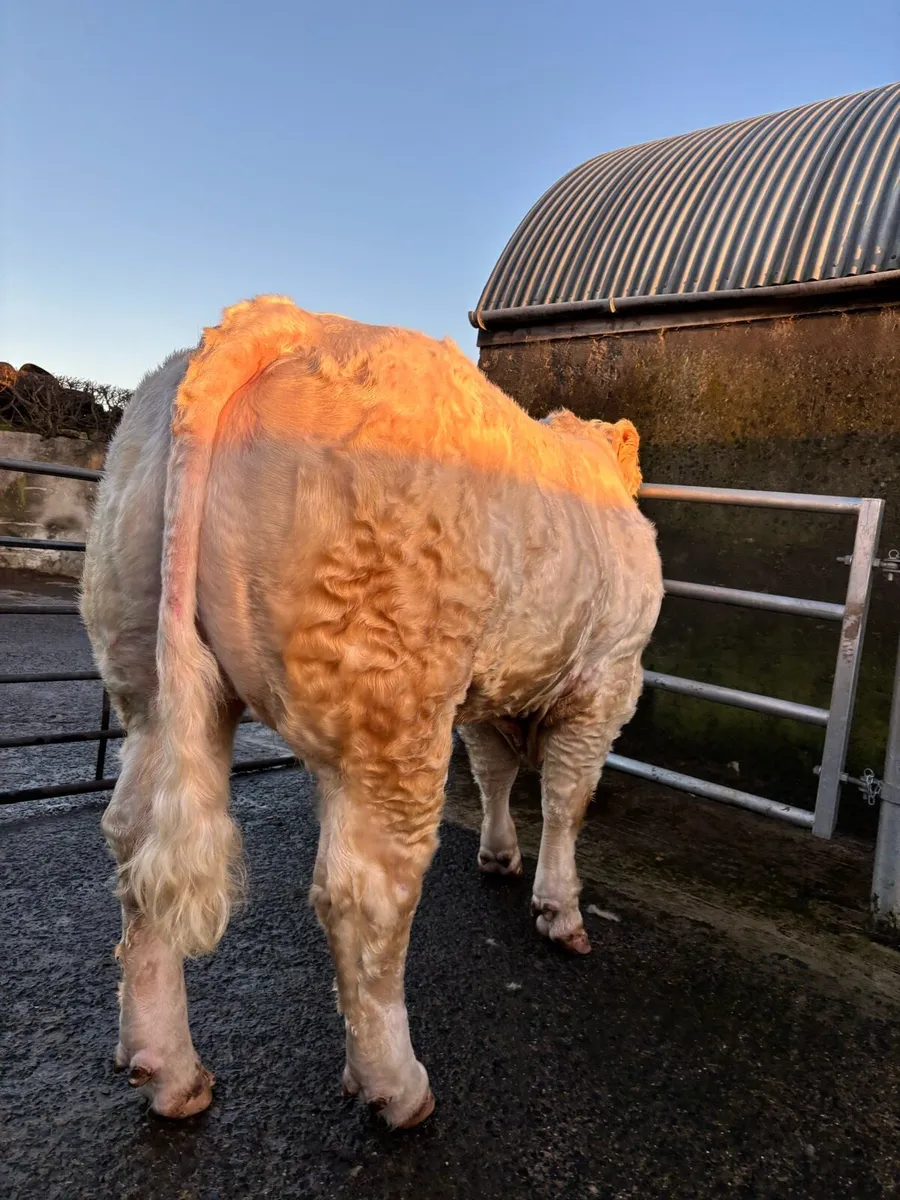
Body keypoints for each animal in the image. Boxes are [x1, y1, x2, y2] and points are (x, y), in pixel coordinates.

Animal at [80, 295, 663, 1128]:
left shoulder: (489, 686)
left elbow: (492, 772)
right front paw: (560, 909)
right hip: (392, 705)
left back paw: (169, 1070)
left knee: (135, 842)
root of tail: (278, 321)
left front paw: (499, 854)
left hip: (146, 670)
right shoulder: (608, 679)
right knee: (366, 894)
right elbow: (565, 802)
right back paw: (397, 1084)